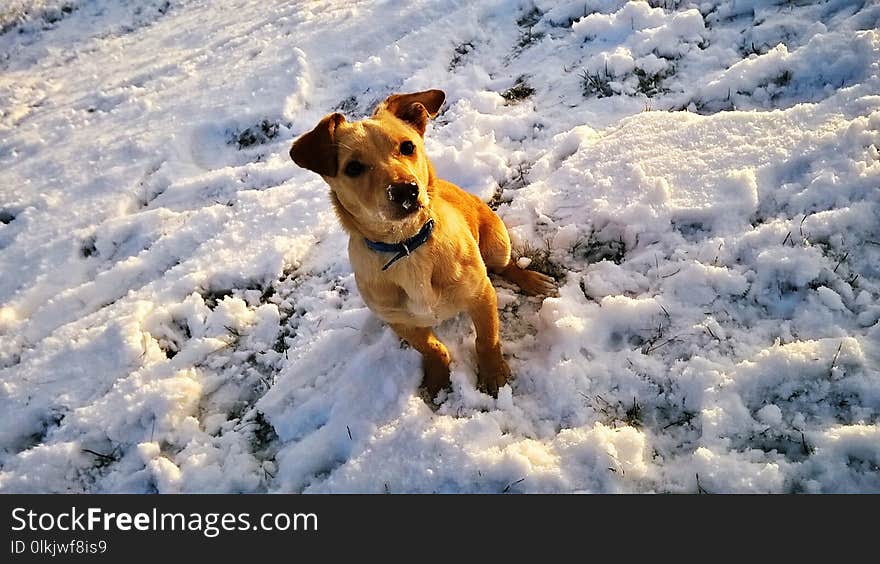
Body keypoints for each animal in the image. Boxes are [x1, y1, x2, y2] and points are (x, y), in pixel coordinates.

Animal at [290, 89, 556, 396]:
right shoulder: (399, 321)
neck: (407, 245)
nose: (405, 190)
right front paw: (437, 377)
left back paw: (534, 280)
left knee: (506, 266)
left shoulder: (481, 295)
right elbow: (432, 348)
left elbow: (486, 340)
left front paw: (493, 374)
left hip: (498, 245)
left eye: (407, 147)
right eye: (353, 167)